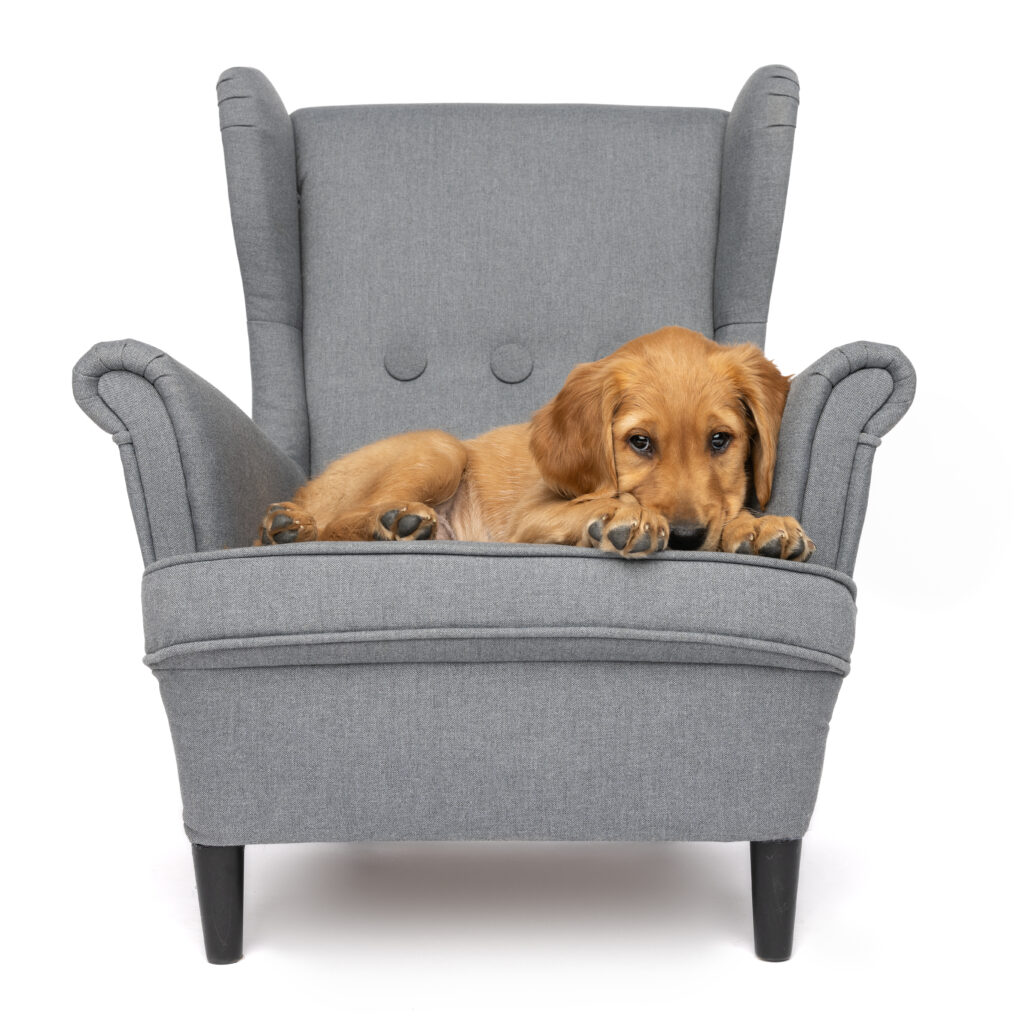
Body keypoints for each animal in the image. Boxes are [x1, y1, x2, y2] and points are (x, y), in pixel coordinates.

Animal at [258, 325, 815, 561]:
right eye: (639, 442)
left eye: (720, 439)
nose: (684, 537)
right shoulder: (530, 519)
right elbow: (597, 503)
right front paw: (623, 516)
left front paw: (760, 526)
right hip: (441, 448)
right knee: (334, 524)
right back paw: (372, 523)